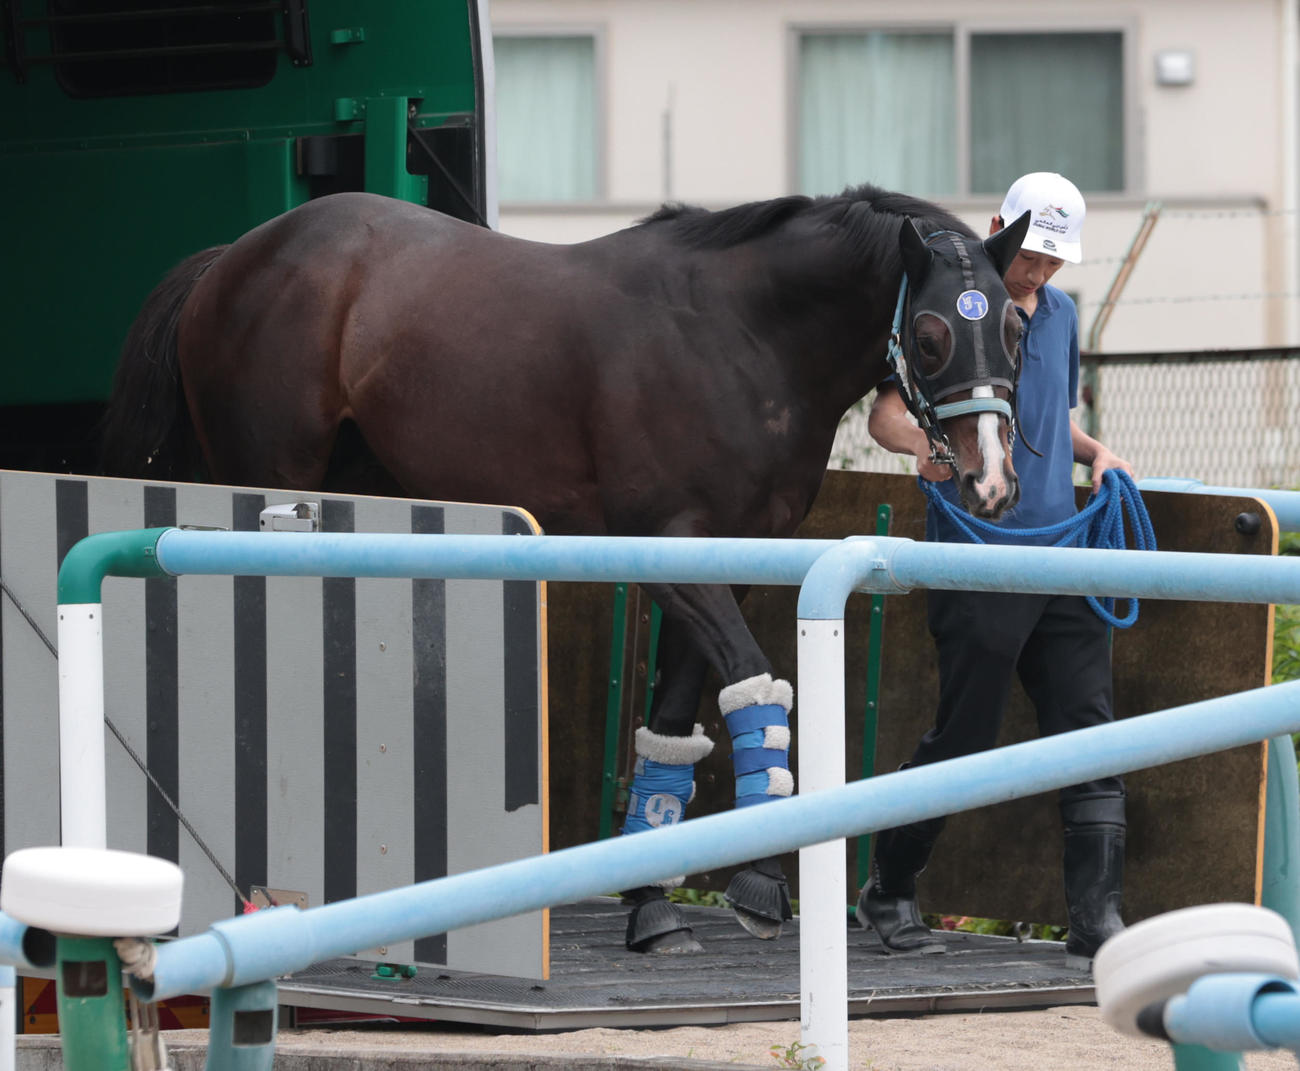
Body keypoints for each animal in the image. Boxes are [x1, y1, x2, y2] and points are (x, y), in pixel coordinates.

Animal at [100, 185, 1030, 954]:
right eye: (932, 334)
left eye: (1017, 329)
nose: (991, 480)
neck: (741, 334)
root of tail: (236, 256)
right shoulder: (667, 545)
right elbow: (752, 681)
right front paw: (761, 877)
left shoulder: (727, 555)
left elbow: (676, 716)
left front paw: (651, 901)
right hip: (270, 485)